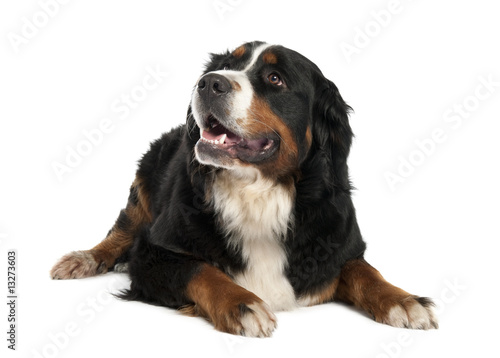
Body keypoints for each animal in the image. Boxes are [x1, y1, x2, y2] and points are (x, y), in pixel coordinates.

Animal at [50, 40, 438, 338]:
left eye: (275, 78)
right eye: (225, 66)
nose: (208, 83)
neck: (257, 192)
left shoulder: (340, 243)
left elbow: (364, 270)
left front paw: (404, 301)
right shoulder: (152, 252)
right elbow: (201, 269)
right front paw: (241, 303)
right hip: (145, 178)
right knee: (122, 228)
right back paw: (82, 259)